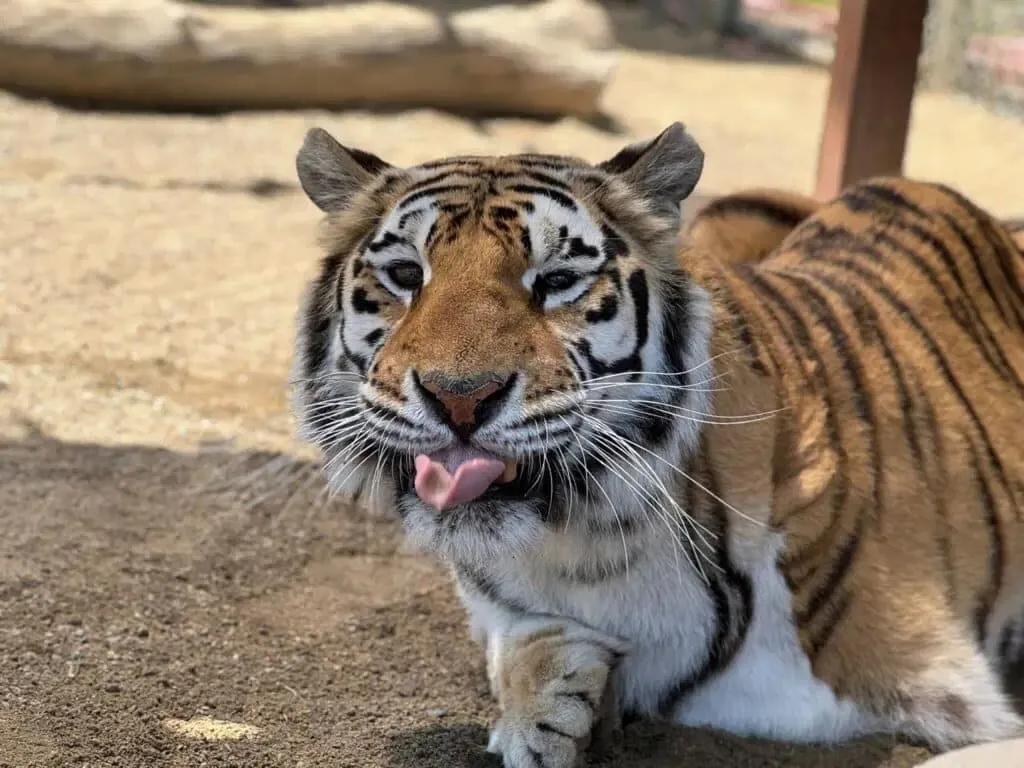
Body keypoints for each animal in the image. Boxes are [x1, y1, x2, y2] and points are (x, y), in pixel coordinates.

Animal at [290, 122, 1024, 768]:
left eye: (557, 280)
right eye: (404, 274)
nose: (461, 397)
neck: (585, 543)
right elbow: (518, 642)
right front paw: (546, 705)